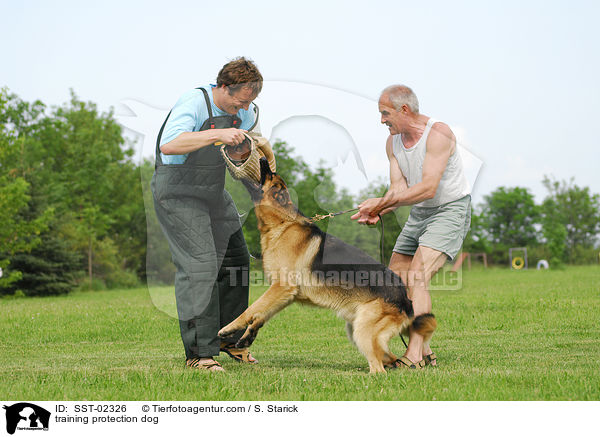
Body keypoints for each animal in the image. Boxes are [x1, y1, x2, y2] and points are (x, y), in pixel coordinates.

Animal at [218, 157, 434, 372]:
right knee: (390, 359)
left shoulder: (281, 287)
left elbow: (251, 308)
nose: (263, 159)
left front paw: (228, 328)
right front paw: (248, 336)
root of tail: (406, 300)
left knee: (379, 369)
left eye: (269, 175)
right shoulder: (284, 295)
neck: (283, 223)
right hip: (356, 329)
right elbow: (262, 313)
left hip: (362, 332)